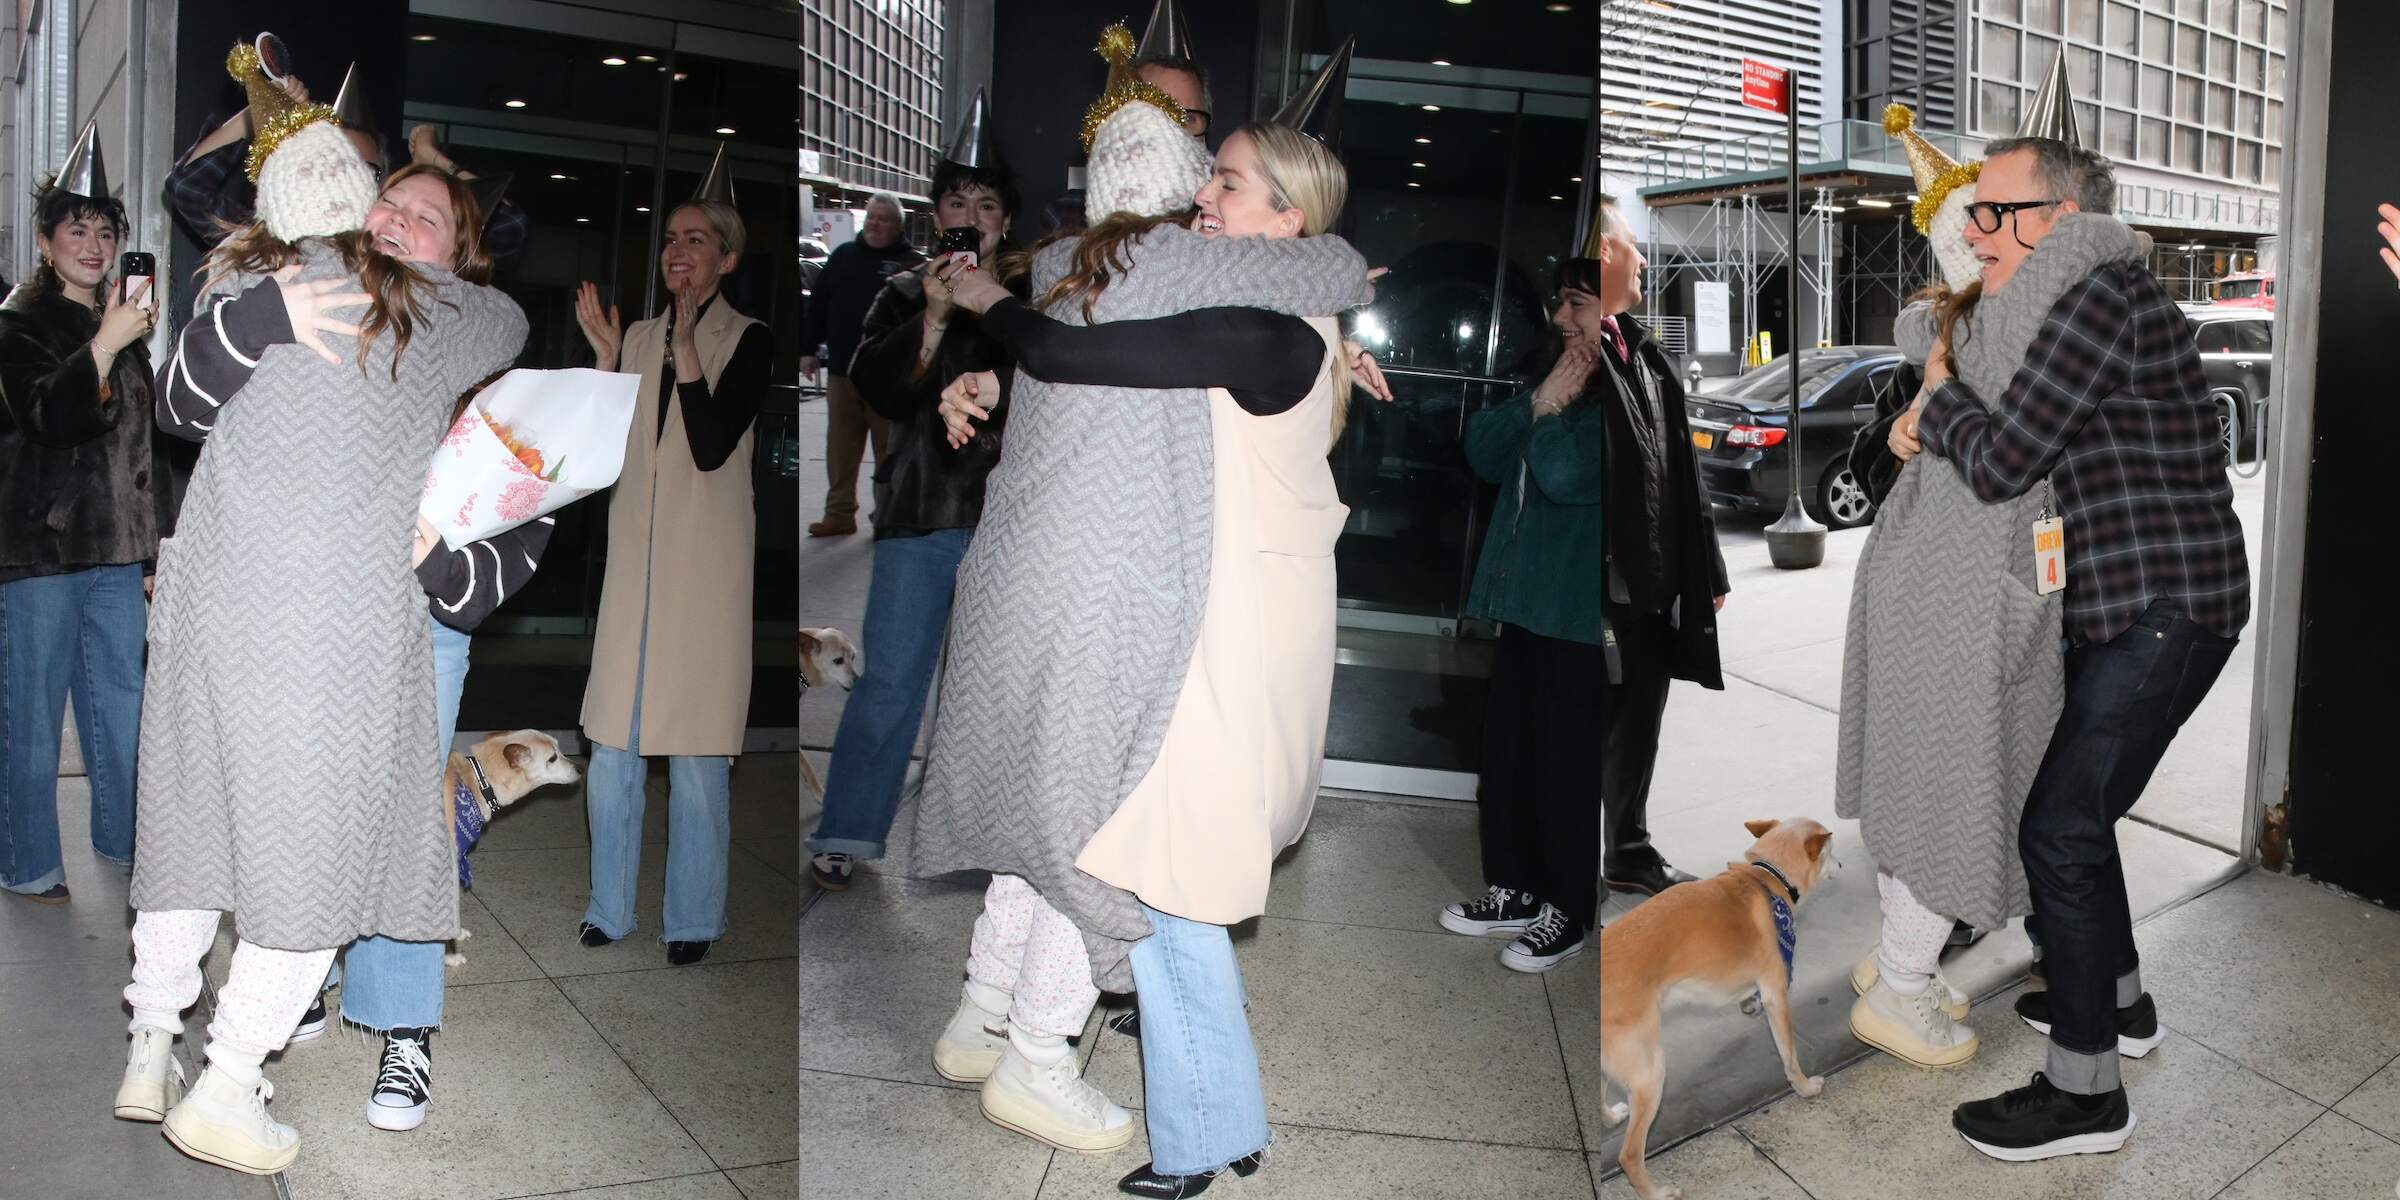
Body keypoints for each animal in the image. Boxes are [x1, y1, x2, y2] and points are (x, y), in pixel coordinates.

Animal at [1612, 816, 1833, 1200]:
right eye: (1830, 850)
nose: (1840, 864)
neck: (1768, 878)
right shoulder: (1777, 995)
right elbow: (1790, 1056)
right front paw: (1804, 1088)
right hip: (1650, 1074)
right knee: (1629, 1155)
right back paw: (1656, 1192)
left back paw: (1611, 1115)